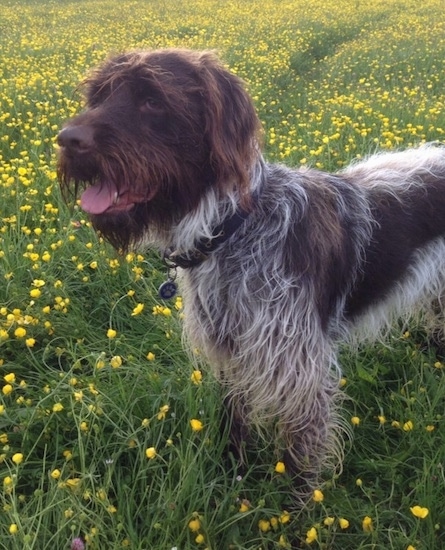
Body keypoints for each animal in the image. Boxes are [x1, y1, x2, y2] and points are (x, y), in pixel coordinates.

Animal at [57, 49, 444, 502]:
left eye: (153, 100)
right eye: (99, 96)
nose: (67, 140)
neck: (230, 229)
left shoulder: (298, 371)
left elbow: (300, 457)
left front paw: (293, 514)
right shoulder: (230, 349)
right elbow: (234, 419)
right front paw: (232, 479)